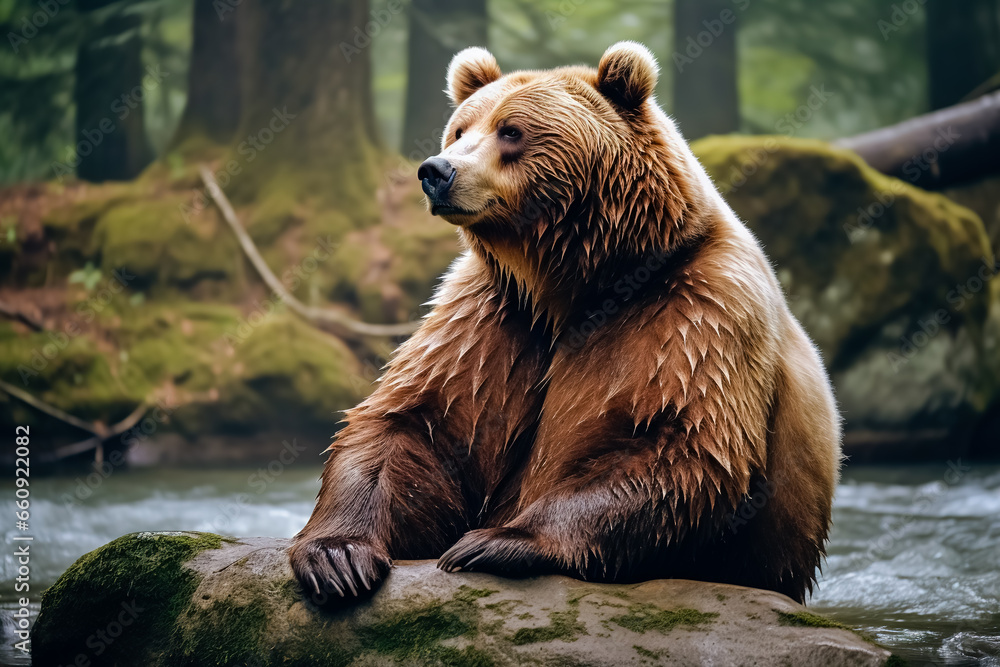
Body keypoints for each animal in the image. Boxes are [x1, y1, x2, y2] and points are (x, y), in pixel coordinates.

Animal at [289, 42, 841, 605]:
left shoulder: (699, 311)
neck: (578, 282)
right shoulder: (494, 313)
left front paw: (495, 541)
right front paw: (337, 556)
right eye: (460, 129)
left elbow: (684, 441)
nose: (436, 170)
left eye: (511, 130)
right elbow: (417, 421)